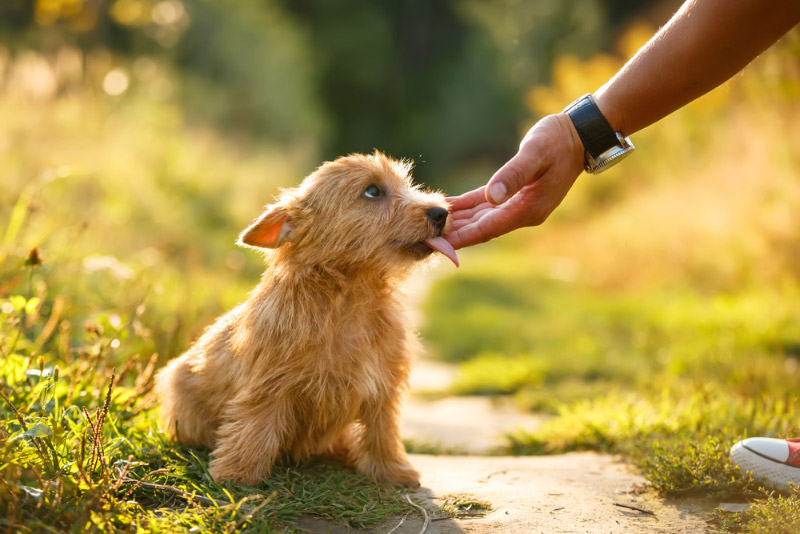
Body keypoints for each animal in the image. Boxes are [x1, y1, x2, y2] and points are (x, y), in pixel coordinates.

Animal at [154, 153, 460, 488]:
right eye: (373, 191)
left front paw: (392, 471)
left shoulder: (382, 384)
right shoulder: (269, 385)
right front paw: (237, 475)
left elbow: (383, 431)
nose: (441, 212)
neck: (349, 299)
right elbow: (254, 428)